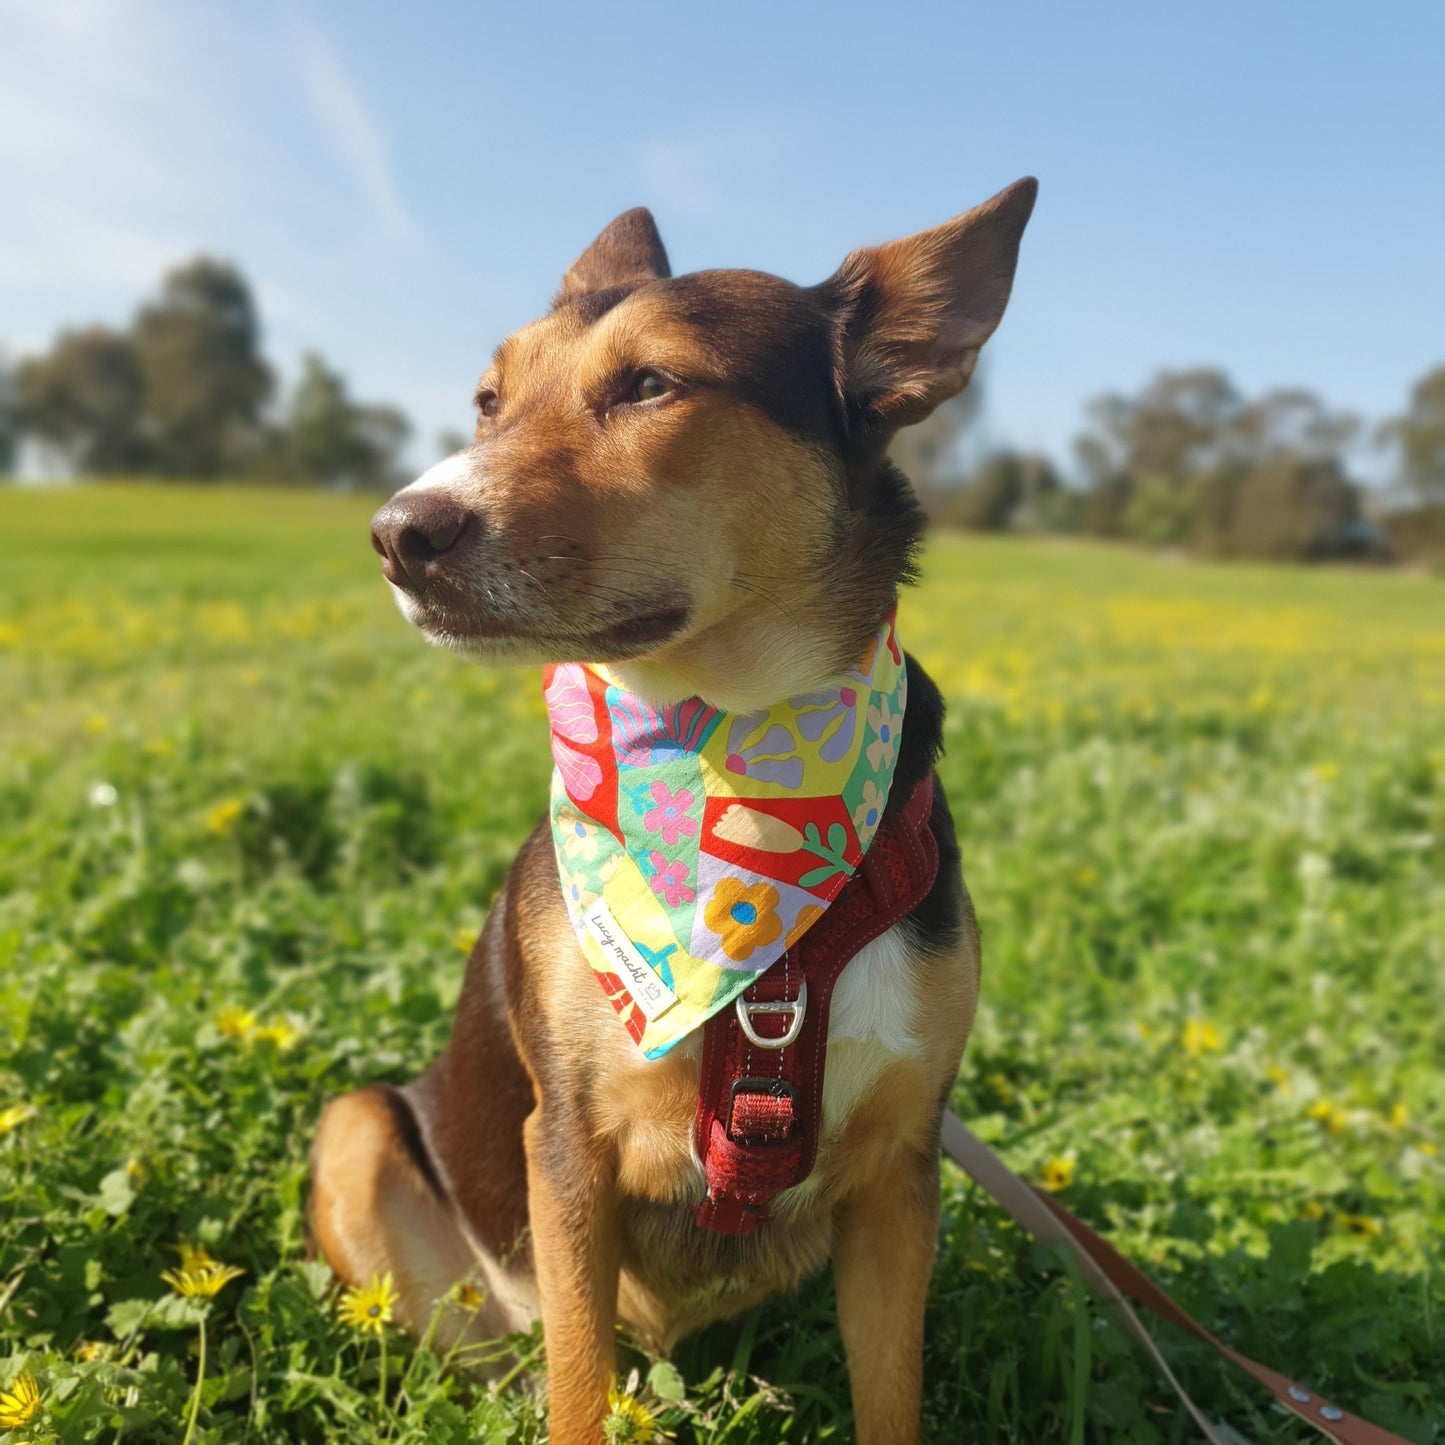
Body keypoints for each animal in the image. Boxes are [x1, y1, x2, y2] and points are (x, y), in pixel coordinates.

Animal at [313, 174, 1040, 1439]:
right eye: (488, 402)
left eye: (650, 384)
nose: (398, 533)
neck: (738, 786)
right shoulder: (565, 1145)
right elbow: (577, 1389)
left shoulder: (900, 1171)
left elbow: (889, 1392)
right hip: (359, 1131)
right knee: (496, 1353)